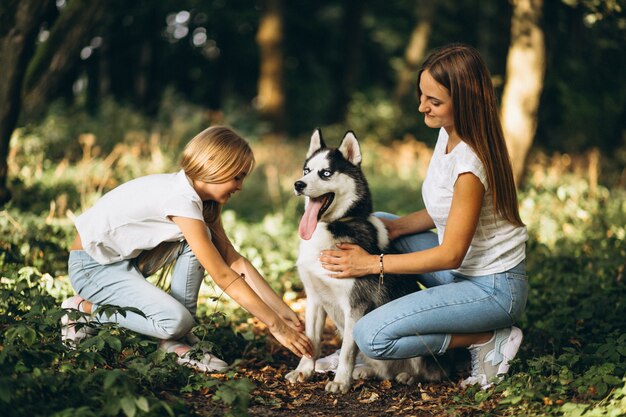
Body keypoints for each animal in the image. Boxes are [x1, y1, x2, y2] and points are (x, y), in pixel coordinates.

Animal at [286, 130, 446, 394]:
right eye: (306, 170)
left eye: (326, 173)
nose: (298, 184)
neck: (332, 227)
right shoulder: (314, 298)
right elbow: (312, 341)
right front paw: (304, 371)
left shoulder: (356, 305)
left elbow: (346, 352)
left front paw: (340, 381)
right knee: (382, 371)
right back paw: (366, 371)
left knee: (432, 371)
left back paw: (409, 376)